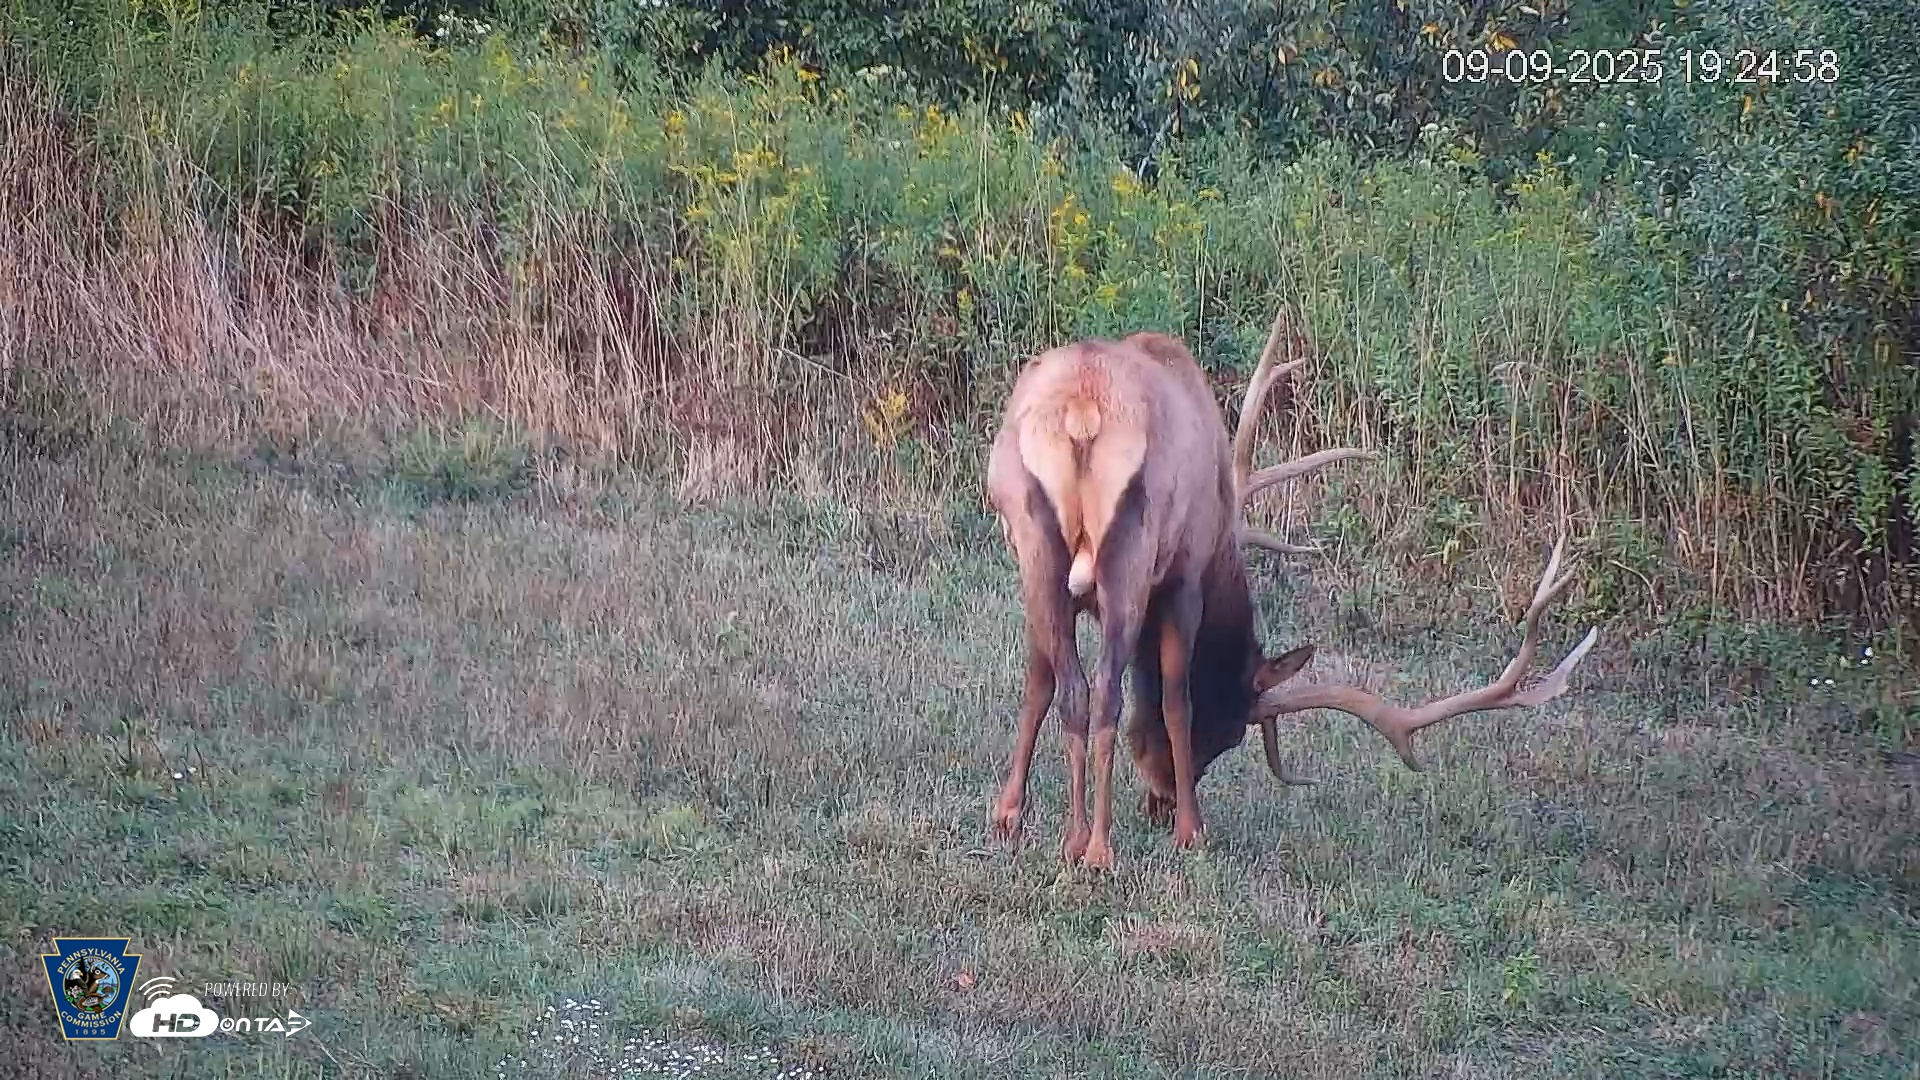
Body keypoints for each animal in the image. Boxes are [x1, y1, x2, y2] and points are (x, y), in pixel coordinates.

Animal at [983, 305, 1599, 870]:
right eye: (1230, 730)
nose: (1161, 798)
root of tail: (1080, 414)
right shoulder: (1184, 573)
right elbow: (1176, 695)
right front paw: (1192, 830)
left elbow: (1038, 681)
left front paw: (1008, 812)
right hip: (1130, 551)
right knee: (1105, 689)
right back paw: (1098, 849)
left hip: (1036, 548)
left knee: (1074, 689)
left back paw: (1071, 839)